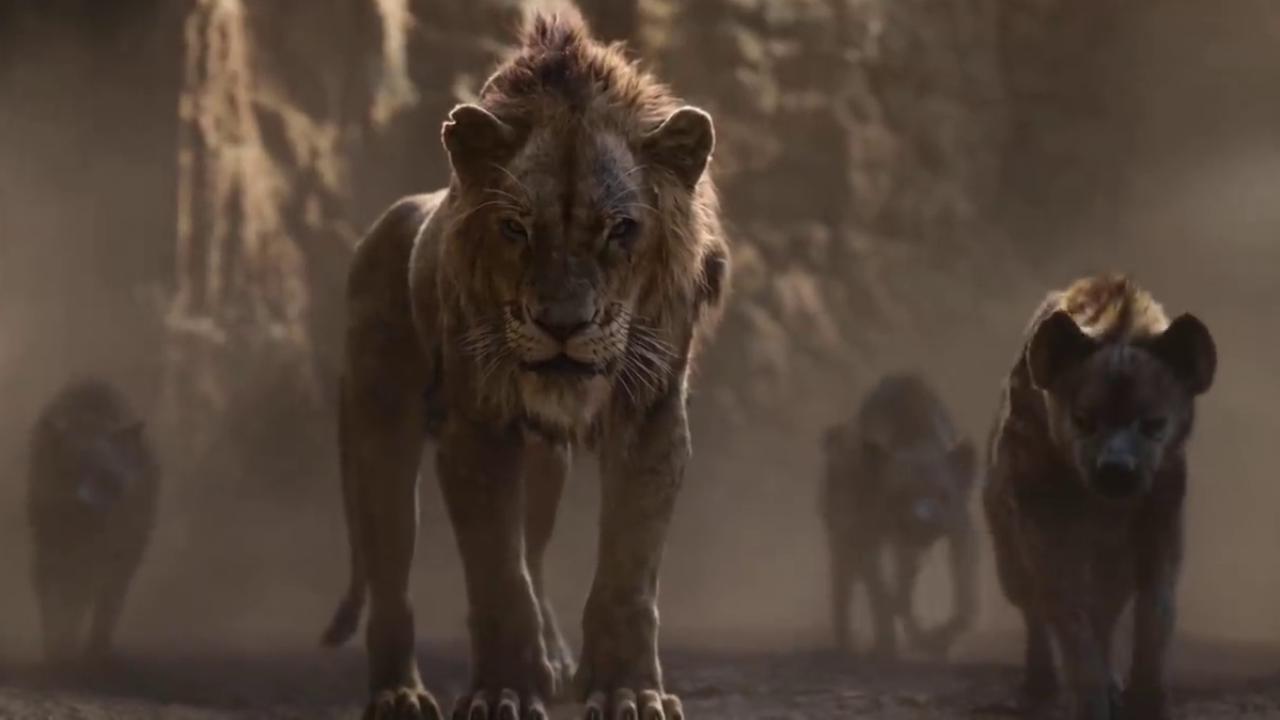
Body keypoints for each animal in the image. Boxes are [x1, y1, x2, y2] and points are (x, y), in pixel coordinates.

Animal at [27, 379, 157, 664]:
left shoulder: (121, 560)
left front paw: (96, 651)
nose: (83, 506)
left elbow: (105, 608)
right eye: (67, 471)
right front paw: (59, 650)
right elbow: (59, 608)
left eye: (106, 474)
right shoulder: (53, 554)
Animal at [319, 7, 729, 720]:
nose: (562, 324)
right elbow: (496, 575)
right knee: (393, 573)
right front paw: (505, 689)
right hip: (380, 429)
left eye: (620, 229)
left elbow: (626, 573)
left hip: (544, 464)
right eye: (515, 229)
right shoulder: (477, 429)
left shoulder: (652, 418)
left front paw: (626, 689)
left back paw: (556, 660)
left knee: (534, 552)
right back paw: (400, 692)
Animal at [821, 372, 977, 661]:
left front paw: (938, 640)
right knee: (844, 587)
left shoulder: (961, 528)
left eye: (944, 495)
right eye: (900, 494)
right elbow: (879, 595)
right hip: (840, 539)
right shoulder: (863, 534)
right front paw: (886, 645)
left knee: (903, 590)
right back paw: (846, 644)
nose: (925, 520)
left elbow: (965, 603)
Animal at [984, 274, 1216, 720]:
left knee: (1106, 610)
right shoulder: (1044, 524)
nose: (1116, 470)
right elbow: (1069, 614)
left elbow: (1155, 608)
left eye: (1153, 423)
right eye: (1083, 420)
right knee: (1032, 604)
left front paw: (1147, 698)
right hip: (1007, 548)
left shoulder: (1159, 517)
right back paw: (1039, 683)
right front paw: (1090, 700)